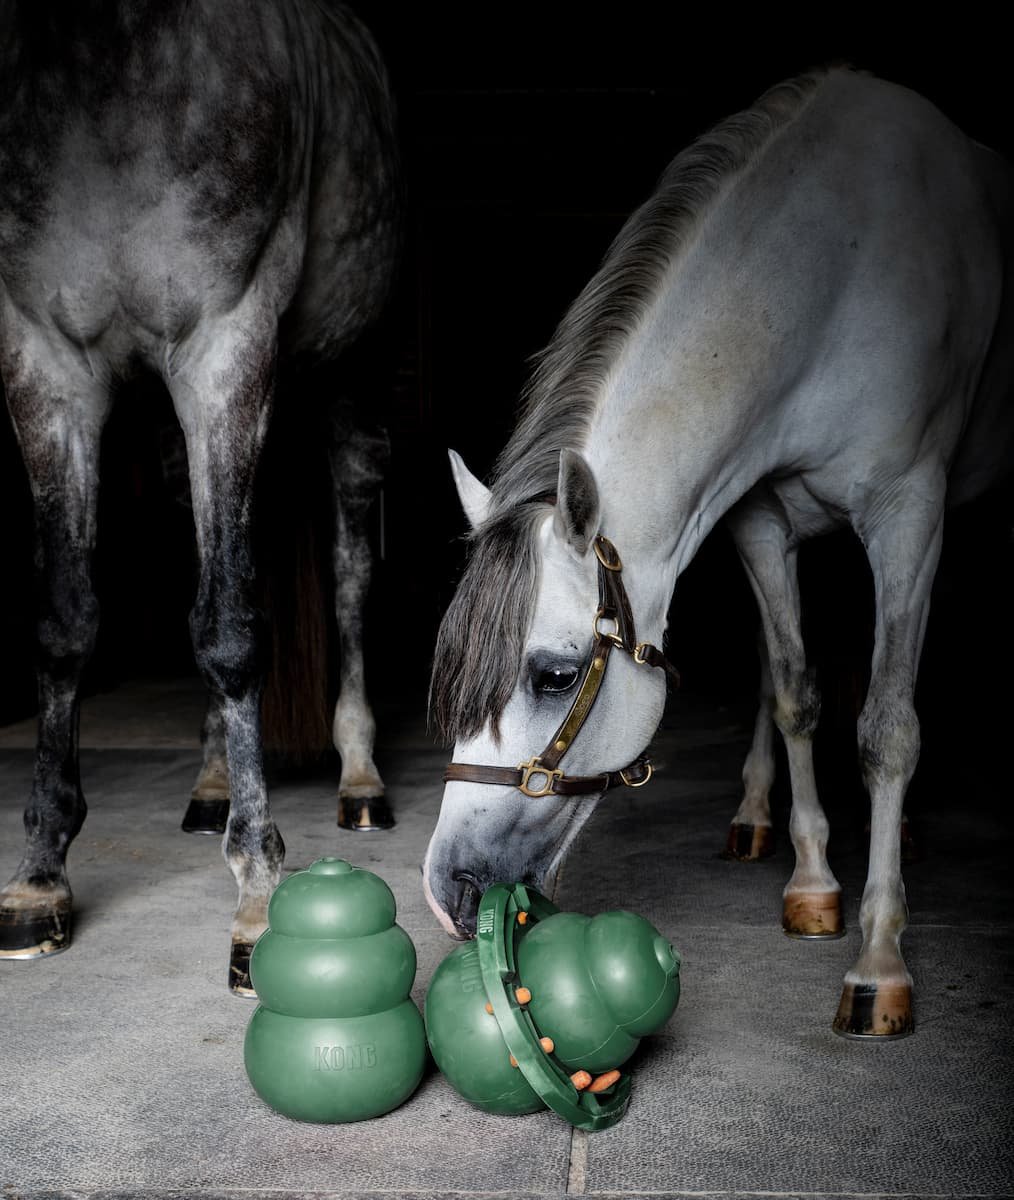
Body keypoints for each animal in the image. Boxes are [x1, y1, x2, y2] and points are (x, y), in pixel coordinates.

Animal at [0, 0, 400, 993]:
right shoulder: (43, 362)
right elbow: (64, 621)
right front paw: (39, 875)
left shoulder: (226, 348)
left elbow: (228, 627)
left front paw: (258, 888)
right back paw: (213, 783)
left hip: (350, 371)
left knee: (349, 560)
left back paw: (360, 776)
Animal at [424, 66, 1014, 1037]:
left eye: (554, 675)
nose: (448, 892)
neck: (829, 280)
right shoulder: (761, 519)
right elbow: (796, 695)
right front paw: (813, 887)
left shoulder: (907, 515)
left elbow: (888, 728)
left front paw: (878, 962)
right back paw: (757, 815)